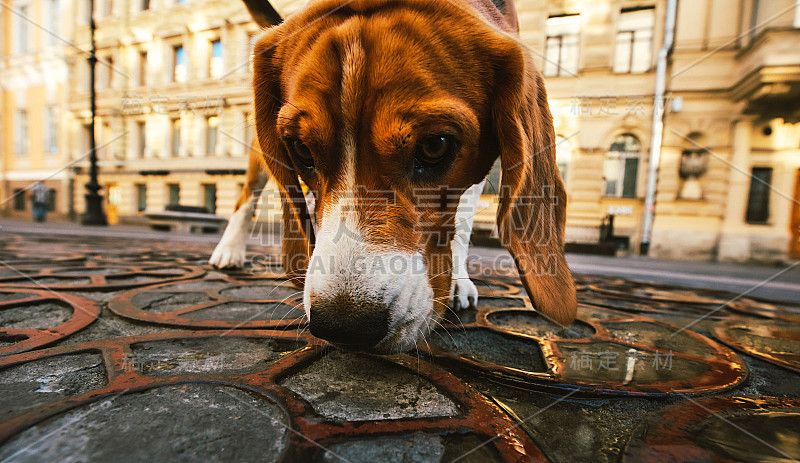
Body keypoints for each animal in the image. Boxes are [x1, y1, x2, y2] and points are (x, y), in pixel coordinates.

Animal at [211, 0, 576, 352]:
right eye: (301, 149)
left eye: (435, 145)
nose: (343, 326)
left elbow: (461, 225)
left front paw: (458, 279)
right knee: (246, 197)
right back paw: (229, 249)